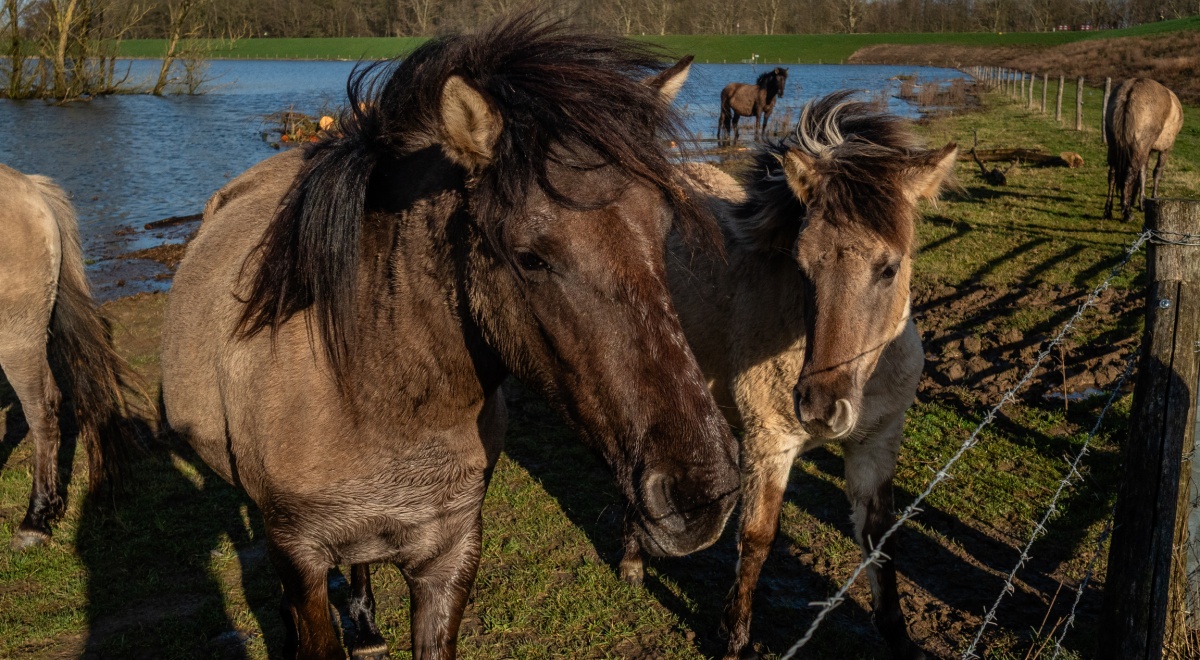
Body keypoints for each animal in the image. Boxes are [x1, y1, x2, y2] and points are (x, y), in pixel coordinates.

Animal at [160, 16, 740, 659]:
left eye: (663, 231)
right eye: (529, 257)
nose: (702, 493)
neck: (371, 395)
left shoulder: (452, 550)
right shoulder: (300, 558)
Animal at [621, 92, 957, 659]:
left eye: (890, 268)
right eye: (803, 265)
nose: (821, 407)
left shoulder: (876, 442)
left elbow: (879, 539)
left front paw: (899, 636)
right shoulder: (768, 444)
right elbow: (756, 539)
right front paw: (734, 640)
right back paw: (631, 560)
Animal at [1103, 78, 1183, 222]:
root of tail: (1130, 92)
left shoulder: (1147, 150)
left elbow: (1142, 173)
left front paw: (1138, 200)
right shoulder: (1165, 148)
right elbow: (1156, 172)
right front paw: (1151, 197)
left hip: (1114, 147)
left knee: (1112, 174)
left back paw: (1108, 211)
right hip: (1139, 147)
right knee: (1129, 174)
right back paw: (1127, 213)